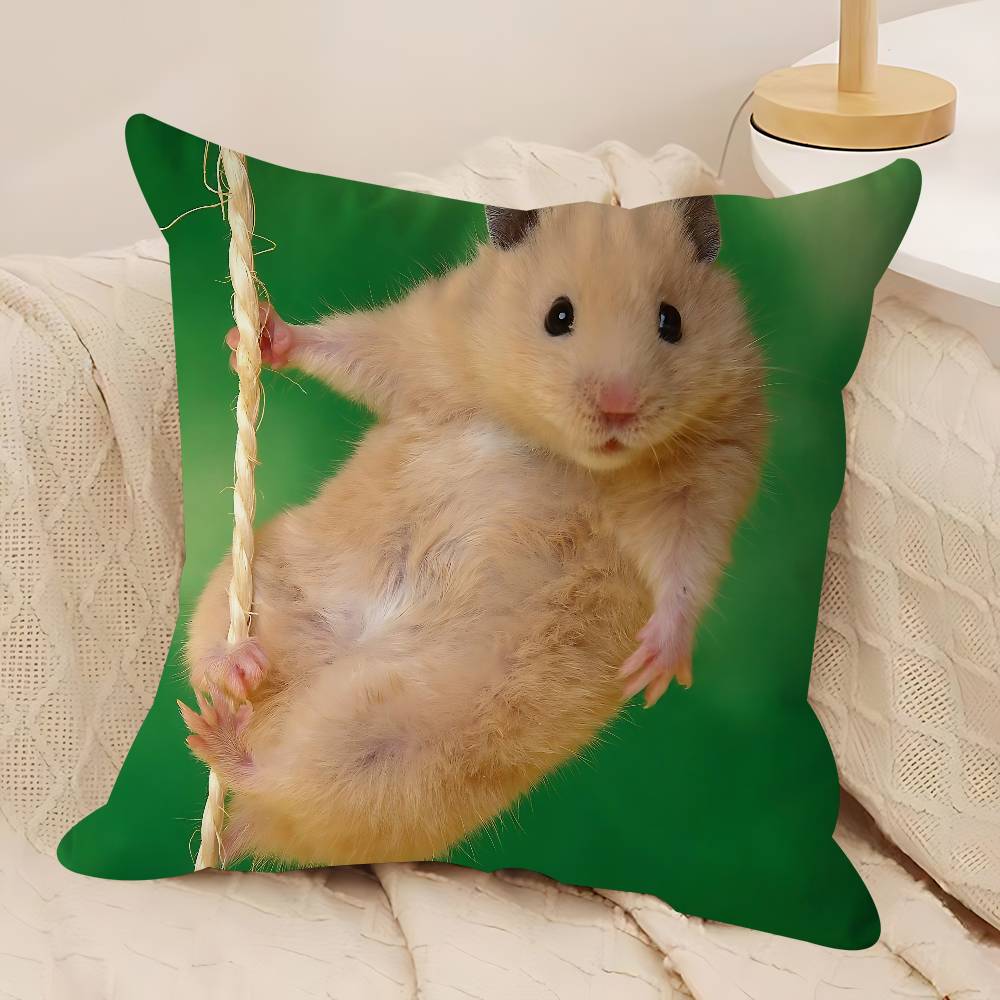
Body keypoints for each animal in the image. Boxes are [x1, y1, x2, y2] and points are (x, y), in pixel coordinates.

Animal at [179, 197, 767, 867]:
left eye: (672, 321)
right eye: (558, 316)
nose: (619, 408)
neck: (562, 450)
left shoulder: (712, 478)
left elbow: (684, 568)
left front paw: (654, 668)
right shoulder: (427, 344)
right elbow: (359, 350)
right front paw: (255, 338)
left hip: (390, 759)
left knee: (286, 784)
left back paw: (226, 737)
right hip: (262, 577)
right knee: (225, 663)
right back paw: (239, 671)